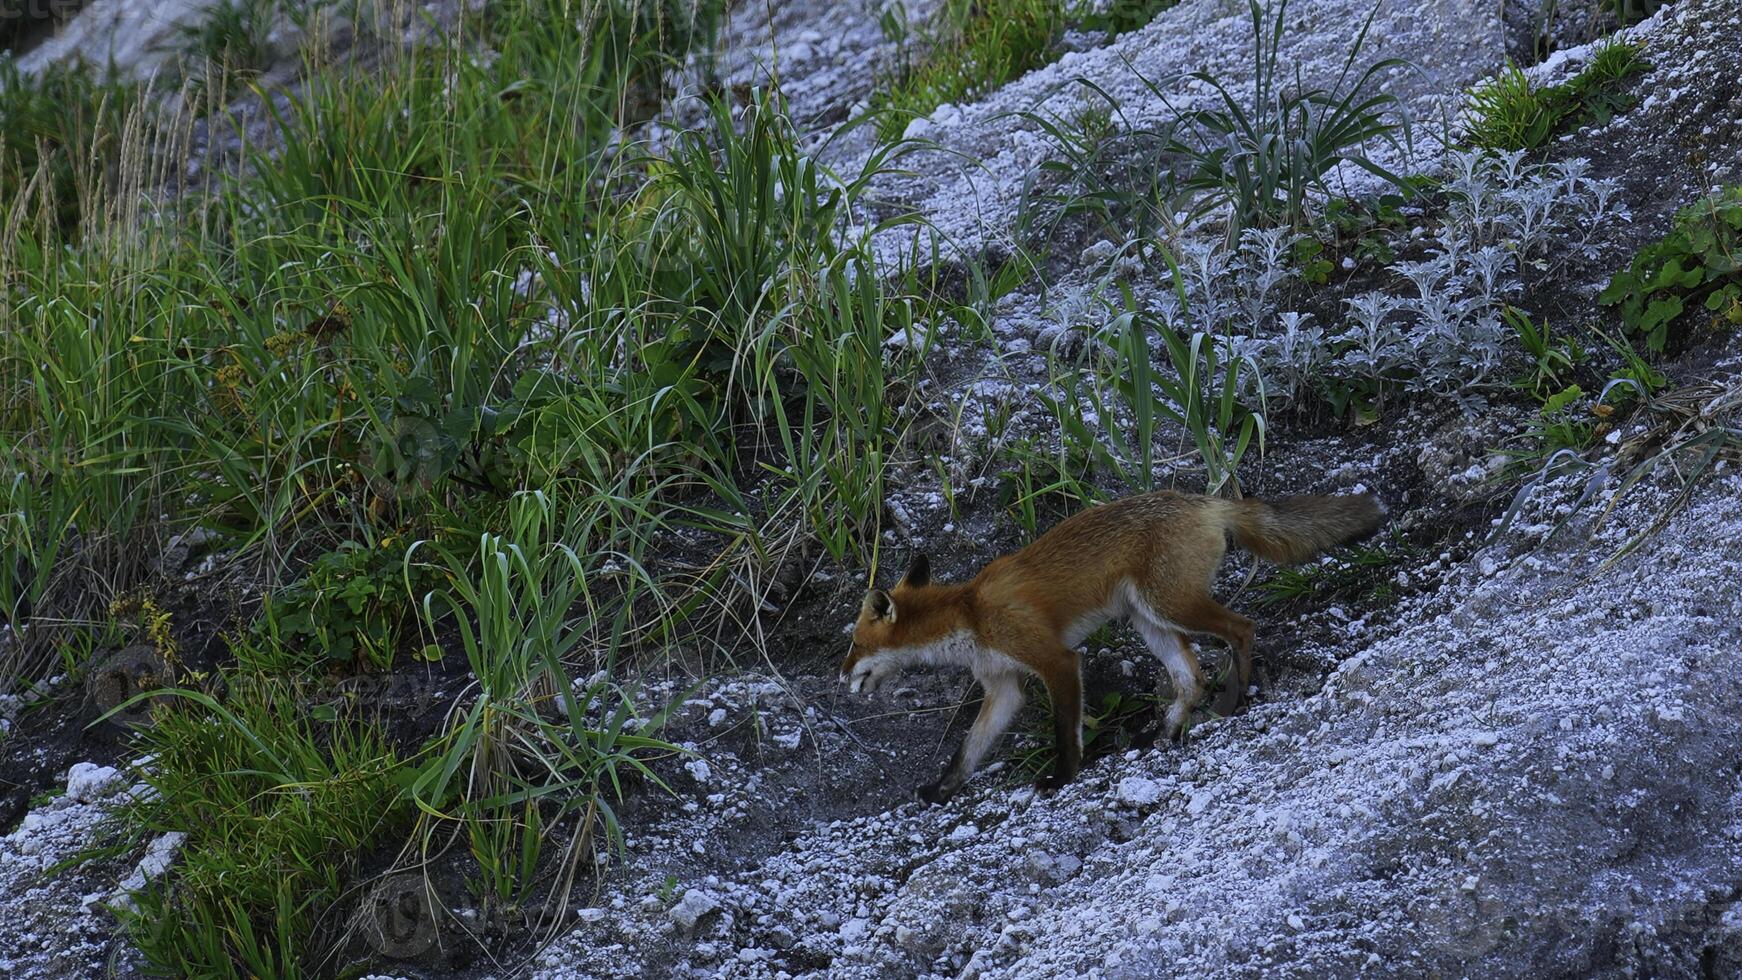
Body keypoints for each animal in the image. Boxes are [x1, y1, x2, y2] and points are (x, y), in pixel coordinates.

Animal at [836, 490, 1379, 804]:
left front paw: (1062, 777)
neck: (970, 612)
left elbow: (1065, 731)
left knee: (1241, 628)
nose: (841, 678)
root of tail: (1203, 498)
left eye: (855, 644)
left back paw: (1235, 697)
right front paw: (941, 790)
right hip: (1148, 620)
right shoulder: (1003, 684)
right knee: (1191, 677)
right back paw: (1163, 734)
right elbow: (967, 750)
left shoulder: (1054, 659)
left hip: (1171, 605)